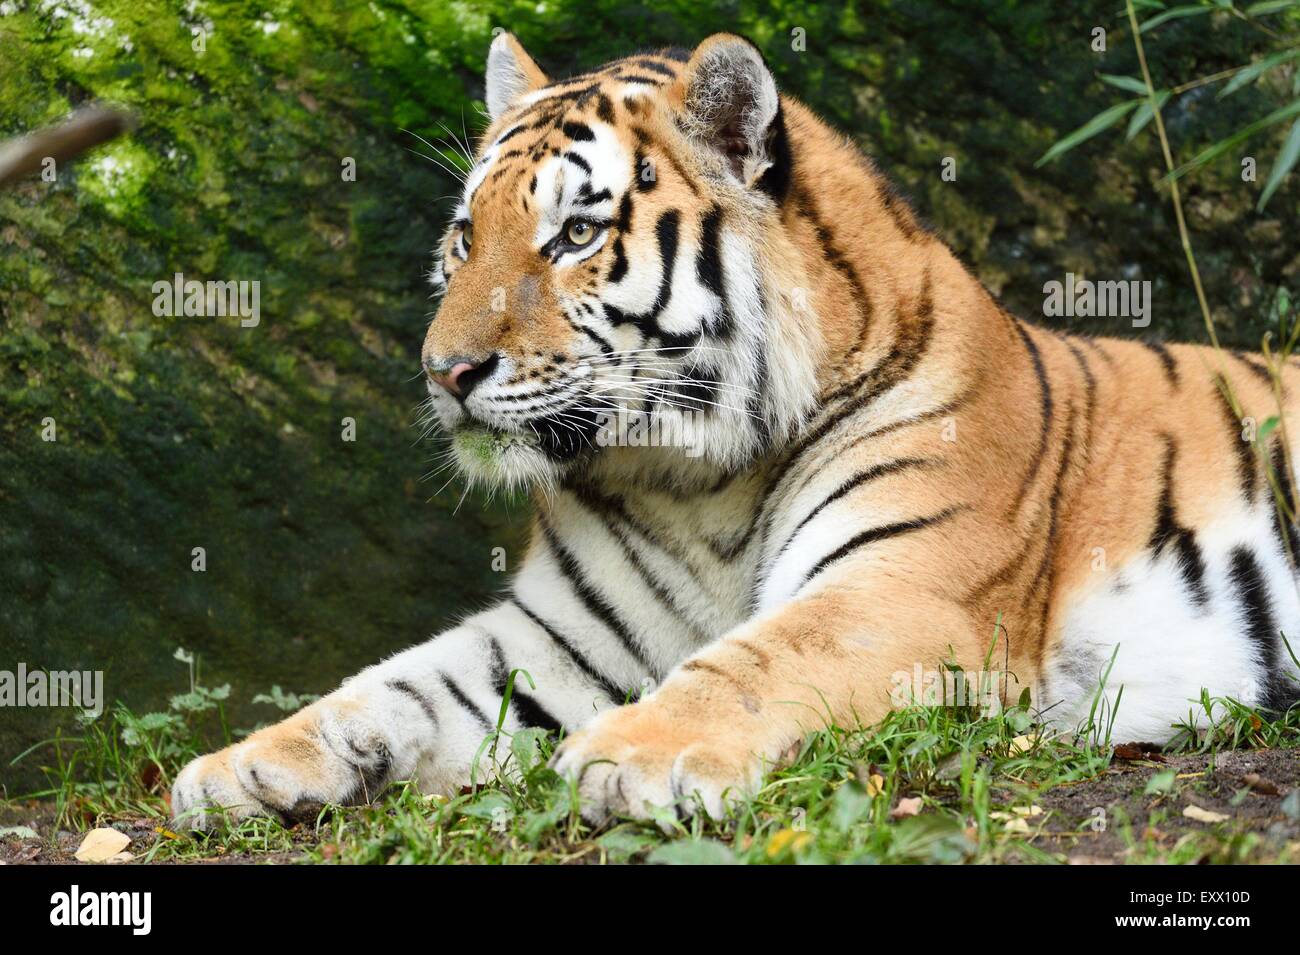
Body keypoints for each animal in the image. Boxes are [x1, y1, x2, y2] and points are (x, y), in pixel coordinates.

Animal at [170, 31, 1300, 831]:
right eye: (464, 237)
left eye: (574, 233)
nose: (443, 373)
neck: (692, 480)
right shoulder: (562, 635)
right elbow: (397, 681)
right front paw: (240, 764)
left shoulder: (902, 589)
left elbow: (758, 658)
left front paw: (629, 758)